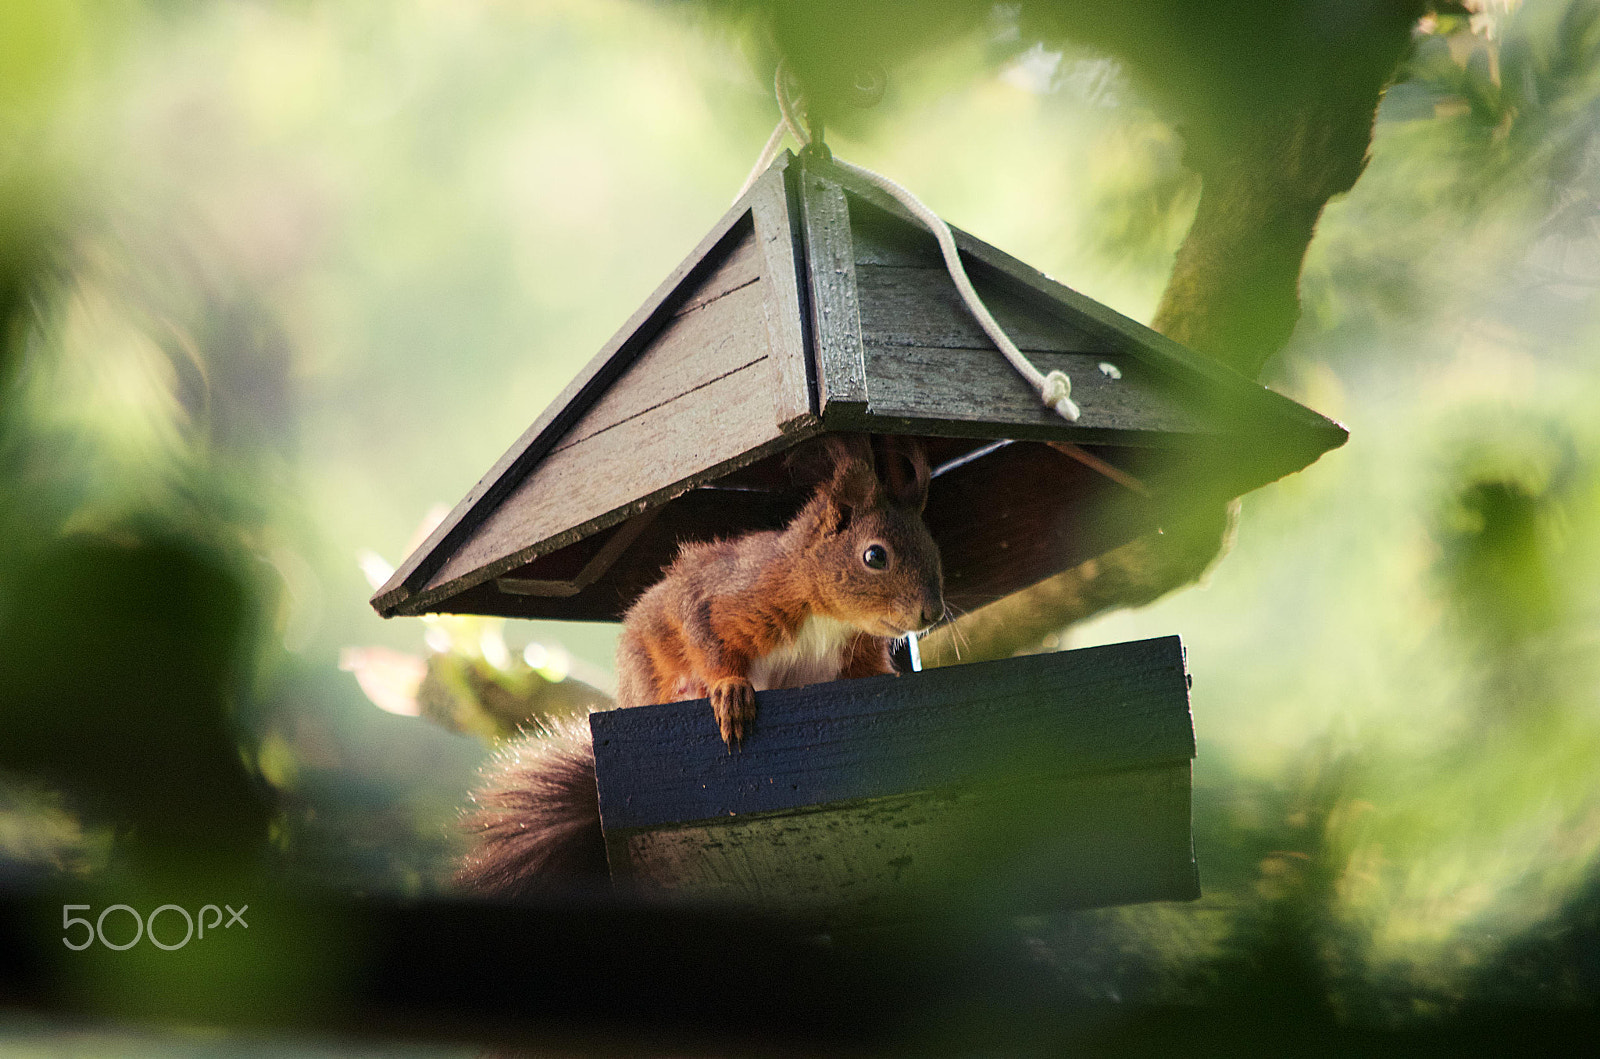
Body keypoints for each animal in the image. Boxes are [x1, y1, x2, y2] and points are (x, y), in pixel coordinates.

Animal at [455, 434, 945, 897]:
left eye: (934, 551)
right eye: (875, 556)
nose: (933, 613)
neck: (828, 617)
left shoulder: (853, 655)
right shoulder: (724, 598)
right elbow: (704, 639)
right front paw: (730, 691)